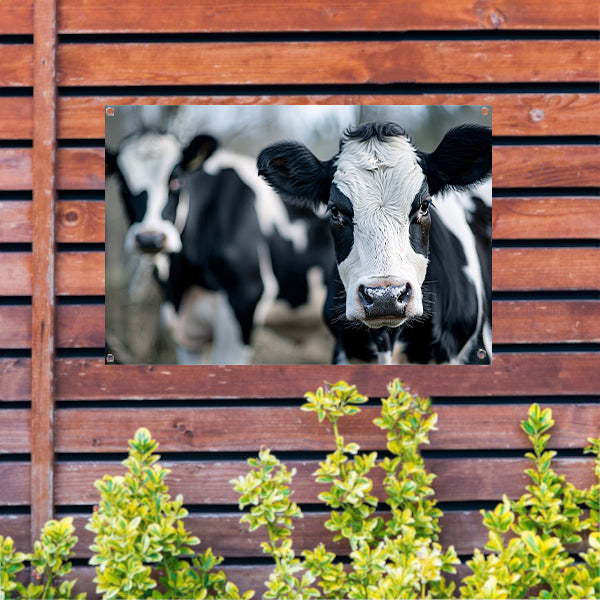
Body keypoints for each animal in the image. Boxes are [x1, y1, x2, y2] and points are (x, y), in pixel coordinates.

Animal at [105, 129, 336, 364]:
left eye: (176, 180)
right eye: (122, 185)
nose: (149, 239)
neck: (183, 283)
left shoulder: (244, 302)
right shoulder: (187, 332)